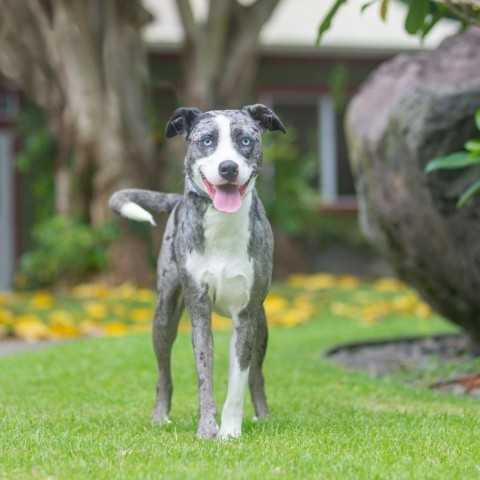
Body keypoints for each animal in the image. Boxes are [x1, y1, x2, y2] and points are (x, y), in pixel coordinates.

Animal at [109, 104, 284, 438]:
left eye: (245, 140)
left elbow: (238, 381)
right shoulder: (199, 313)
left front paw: (230, 431)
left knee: (256, 373)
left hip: (263, 323)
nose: (228, 167)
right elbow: (205, 376)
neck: (222, 223)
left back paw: (264, 415)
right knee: (163, 374)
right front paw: (207, 430)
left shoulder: (247, 317)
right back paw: (160, 416)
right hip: (163, 315)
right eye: (207, 140)